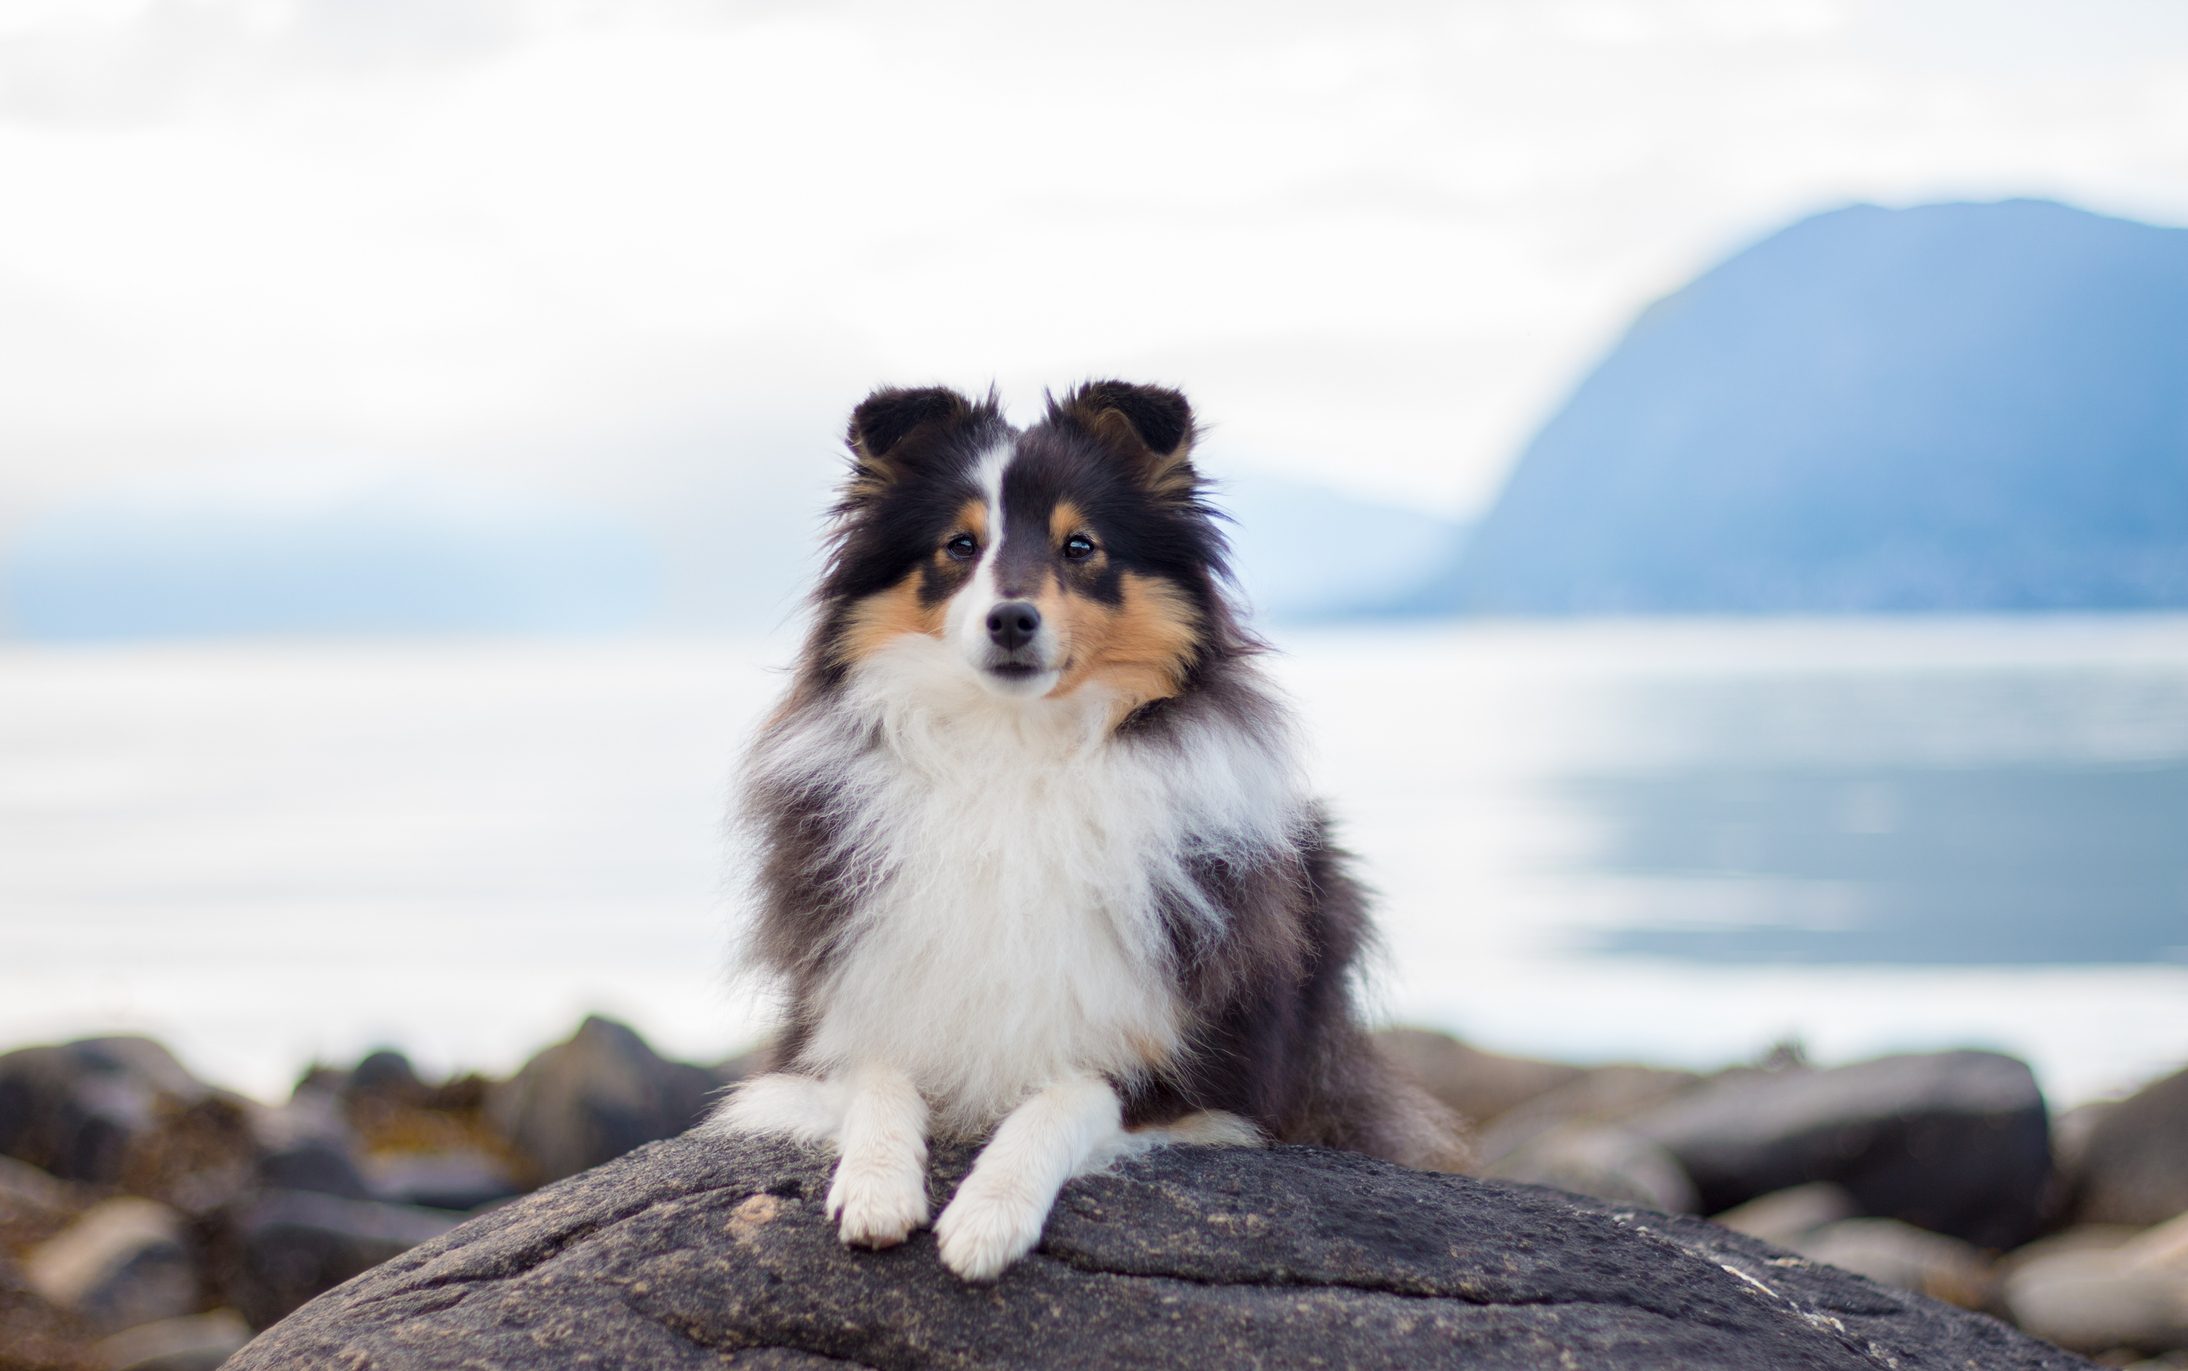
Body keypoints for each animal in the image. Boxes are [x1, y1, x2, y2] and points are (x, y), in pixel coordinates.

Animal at [704, 380, 1470, 1285]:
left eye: (1080, 546)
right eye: (959, 544)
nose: (1011, 620)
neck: (1014, 749)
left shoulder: (1203, 1066)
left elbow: (1067, 1093)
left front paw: (988, 1213)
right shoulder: (832, 1014)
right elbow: (879, 1072)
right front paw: (877, 1183)